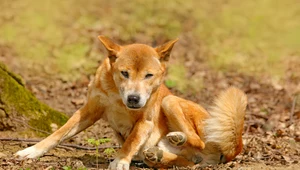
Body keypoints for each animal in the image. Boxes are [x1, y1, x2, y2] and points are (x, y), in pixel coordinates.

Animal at [15, 36, 247, 169]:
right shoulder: (88, 111)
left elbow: (131, 140)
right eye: (124, 73)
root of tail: (234, 146)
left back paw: (176, 139)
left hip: (170, 101)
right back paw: (160, 154)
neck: (117, 96)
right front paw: (32, 151)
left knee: (197, 141)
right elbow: (59, 133)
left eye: (149, 75)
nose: (134, 98)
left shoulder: (145, 121)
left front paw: (120, 160)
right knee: (187, 162)